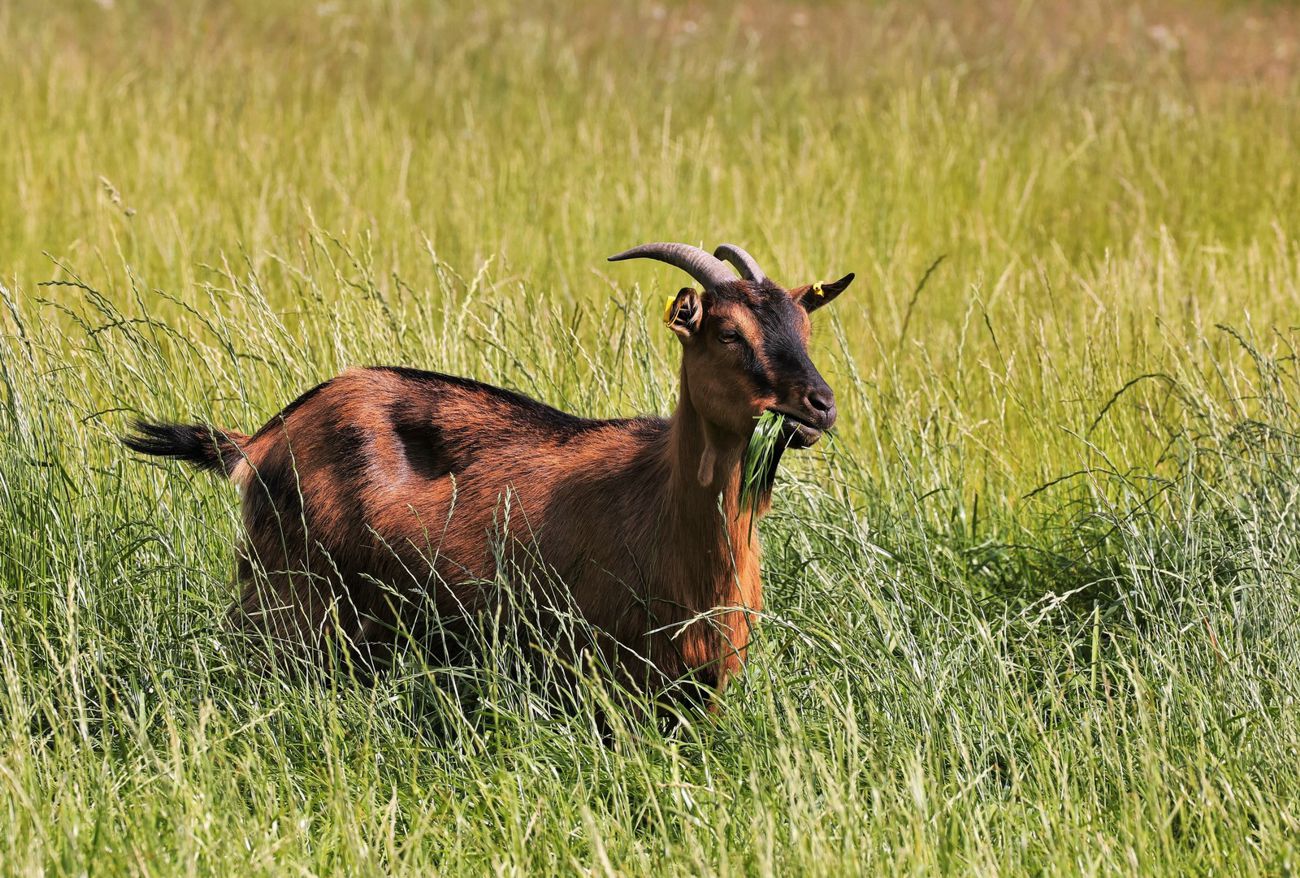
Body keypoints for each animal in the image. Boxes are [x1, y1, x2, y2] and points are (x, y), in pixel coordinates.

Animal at [124, 241, 852, 707]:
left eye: (804, 327)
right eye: (728, 333)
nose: (819, 404)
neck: (664, 507)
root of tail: (264, 437)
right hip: (286, 600)